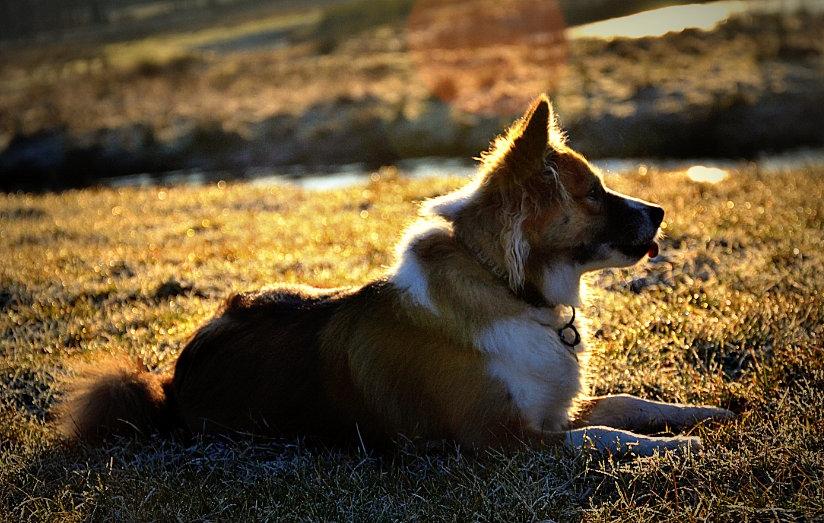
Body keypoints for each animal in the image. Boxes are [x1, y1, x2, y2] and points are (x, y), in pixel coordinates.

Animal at [59, 96, 732, 456]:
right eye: (593, 193)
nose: (660, 212)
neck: (506, 286)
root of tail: (169, 382)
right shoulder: (504, 437)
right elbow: (605, 437)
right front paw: (676, 446)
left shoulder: (548, 409)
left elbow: (625, 402)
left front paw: (698, 414)